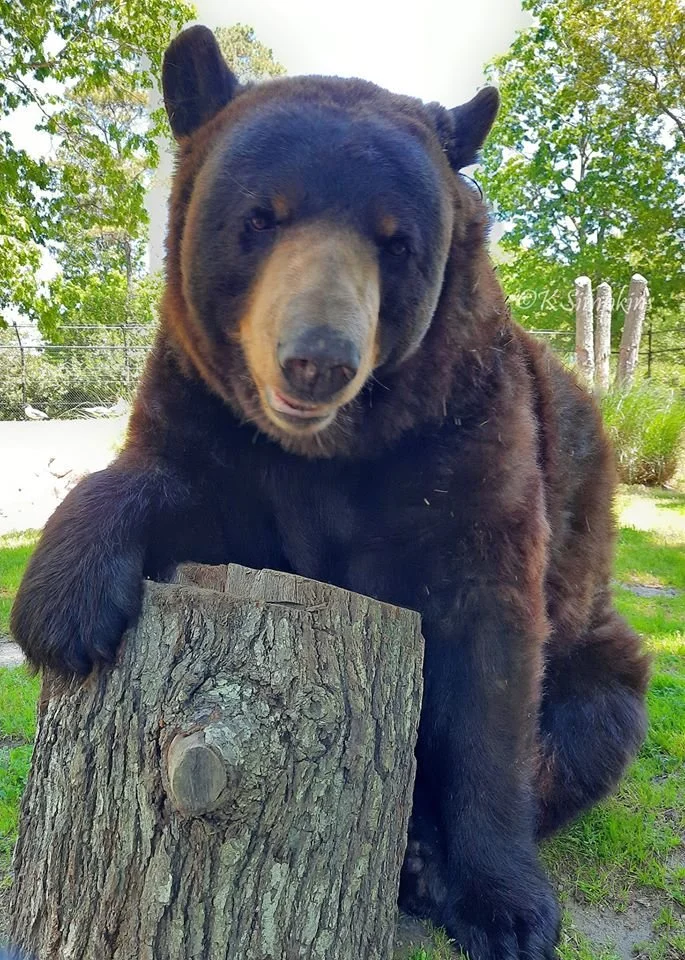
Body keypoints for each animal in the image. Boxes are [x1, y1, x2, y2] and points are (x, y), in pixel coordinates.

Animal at [11, 24, 650, 959]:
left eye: (395, 240)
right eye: (260, 216)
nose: (316, 359)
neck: (330, 447)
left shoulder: (468, 435)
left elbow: (490, 651)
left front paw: (505, 906)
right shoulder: (216, 421)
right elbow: (178, 486)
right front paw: (63, 605)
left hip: (598, 647)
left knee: (584, 730)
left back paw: (424, 859)